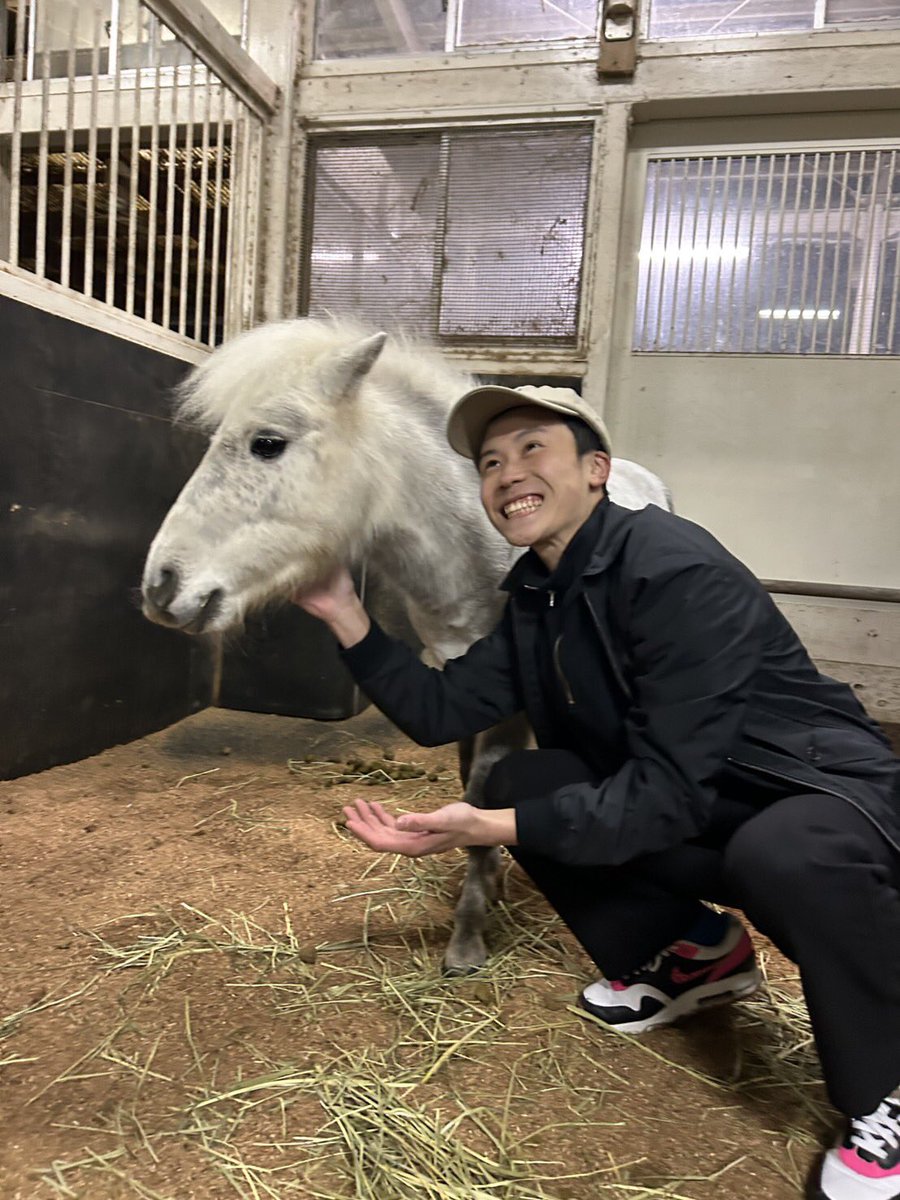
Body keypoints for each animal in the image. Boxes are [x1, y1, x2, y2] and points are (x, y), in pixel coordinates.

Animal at [141, 318, 672, 974]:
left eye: (267, 443)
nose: (161, 586)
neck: (480, 549)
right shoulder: (457, 680)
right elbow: (470, 778)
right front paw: (488, 883)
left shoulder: (510, 706)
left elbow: (484, 786)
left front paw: (468, 936)